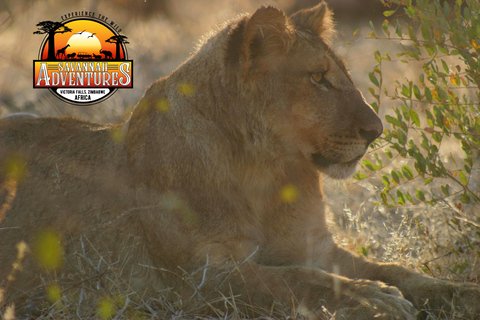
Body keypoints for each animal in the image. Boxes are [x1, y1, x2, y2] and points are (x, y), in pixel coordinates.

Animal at [0, 1, 480, 318]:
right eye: (318, 79)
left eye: (341, 75)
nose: (376, 131)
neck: (266, 170)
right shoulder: (199, 277)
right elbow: (292, 279)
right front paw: (371, 298)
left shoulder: (316, 248)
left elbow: (397, 269)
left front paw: (459, 291)